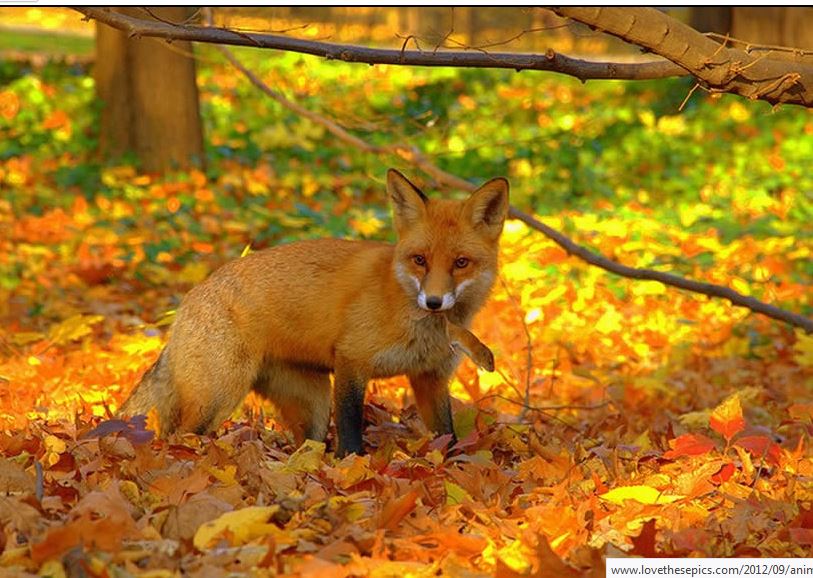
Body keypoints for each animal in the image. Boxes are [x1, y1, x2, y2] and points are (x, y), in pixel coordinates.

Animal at [120, 169, 509, 456]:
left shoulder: (430, 377)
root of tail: (187, 300)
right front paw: (352, 464)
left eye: (461, 263)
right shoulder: (352, 360)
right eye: (420, 260)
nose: (433, 302)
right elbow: (350, 427)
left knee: (305, 444)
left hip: (313, 406)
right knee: (178, 436)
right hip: (218, 396)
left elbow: (447, 435)